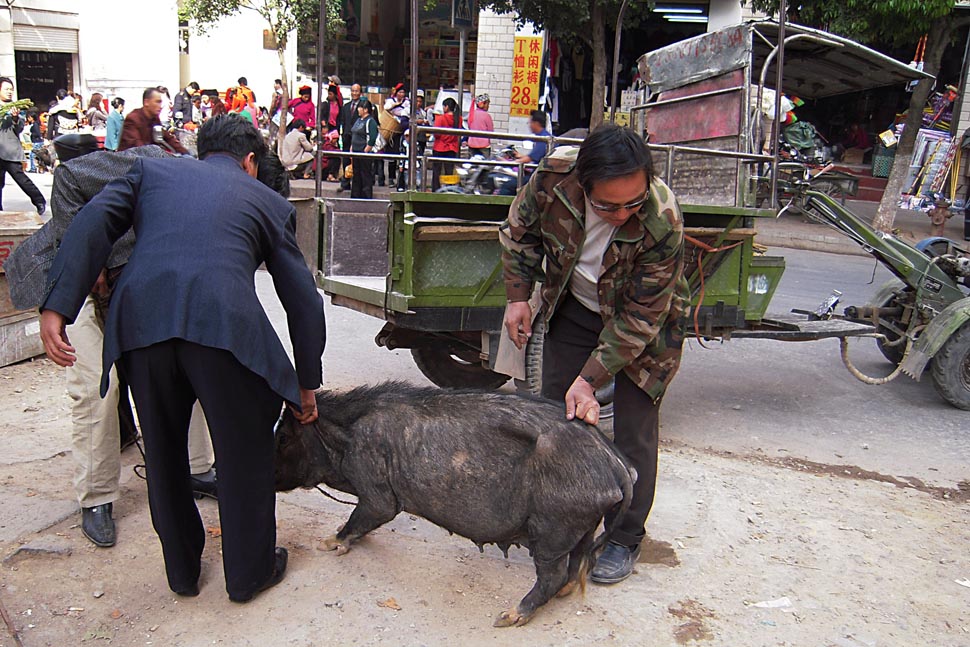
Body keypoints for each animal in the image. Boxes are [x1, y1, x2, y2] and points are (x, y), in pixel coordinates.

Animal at [274, 382, 636, 632]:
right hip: (581, 523)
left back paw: (508, 617)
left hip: (554, 523)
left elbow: (368, 512)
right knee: (578, 560)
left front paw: (326, 543)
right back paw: (563, 594)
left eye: (284, 438)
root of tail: (616, 463)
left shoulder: (376, 487)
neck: (342, 436)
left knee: (553, 573)